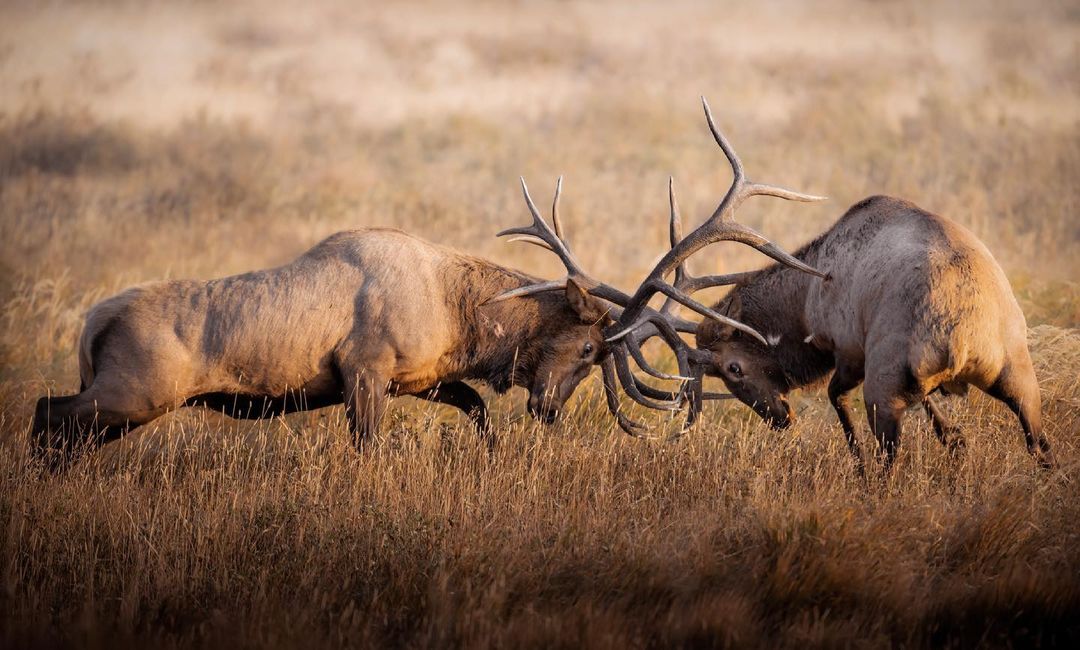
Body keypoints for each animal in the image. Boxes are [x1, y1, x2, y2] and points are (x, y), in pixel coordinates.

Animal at [30, 186, 614, 469]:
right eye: (589, 348)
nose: (550, 409)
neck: (460, 318)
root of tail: (91, 323)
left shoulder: (417, 379)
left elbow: (475, 406)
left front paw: (492, 456)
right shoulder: (364, 367)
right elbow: (368, 445)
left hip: (124, 403)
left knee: (66, 428)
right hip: (136, 392)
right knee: (46, 411)